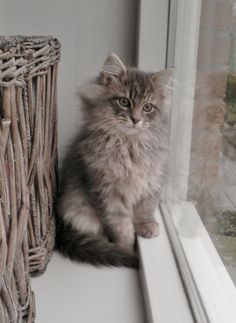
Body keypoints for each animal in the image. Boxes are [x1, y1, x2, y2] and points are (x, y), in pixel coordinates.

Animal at [56, 54, 171, 270]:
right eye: (124, 102)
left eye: (147, 107)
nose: (135, 119)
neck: (129, 146)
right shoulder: (106, 192)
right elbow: (120, 226)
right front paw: (126, 247)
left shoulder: (151, 180)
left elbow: (145, 208)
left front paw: (146, 226)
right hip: (78, 213)